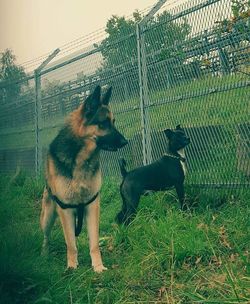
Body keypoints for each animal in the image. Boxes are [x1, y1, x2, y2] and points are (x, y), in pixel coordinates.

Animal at [40, 86, 128, 274]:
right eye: (104, 123)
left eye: (113, 122)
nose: (125, 142)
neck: (80, 158)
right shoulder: (66, 209)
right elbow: (71, 244)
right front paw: (72, 266)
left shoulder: (91, 206)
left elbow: (94, 242)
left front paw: (98, 266)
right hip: (47, 217)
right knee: (46, 236)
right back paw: (44, 254)